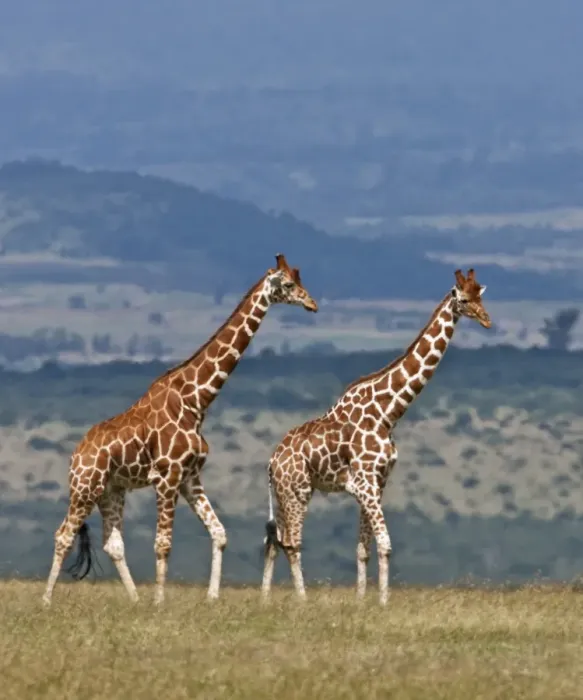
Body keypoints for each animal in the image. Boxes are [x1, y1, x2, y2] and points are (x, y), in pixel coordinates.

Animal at [42, 253, 318, 607]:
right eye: (287, 284)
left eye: (300, 279)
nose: (311, 304)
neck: (195, 402)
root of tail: (75, 456)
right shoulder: (168, 477)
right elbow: (163, 544)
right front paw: (160, 602)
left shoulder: (190, 477)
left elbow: (219, 533)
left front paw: (211, 597)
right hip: (85, 488)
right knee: (63, 535)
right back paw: (47, 600)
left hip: (111, 491)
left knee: (113, 544)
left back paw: (134, 599)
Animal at [261, 268, 491, 605]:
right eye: (463, 299)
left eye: (480, 297)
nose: (487, 320)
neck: (388, 413)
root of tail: (272, 462)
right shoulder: (365, 483)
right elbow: (385, 544)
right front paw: (383, 602)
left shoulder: (376, 483)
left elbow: (363, 548)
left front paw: (361, 601)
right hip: (297, 490)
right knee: (291, 542)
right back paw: (302, 600)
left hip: (282, 493)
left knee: (272, 540)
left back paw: (264, 597)